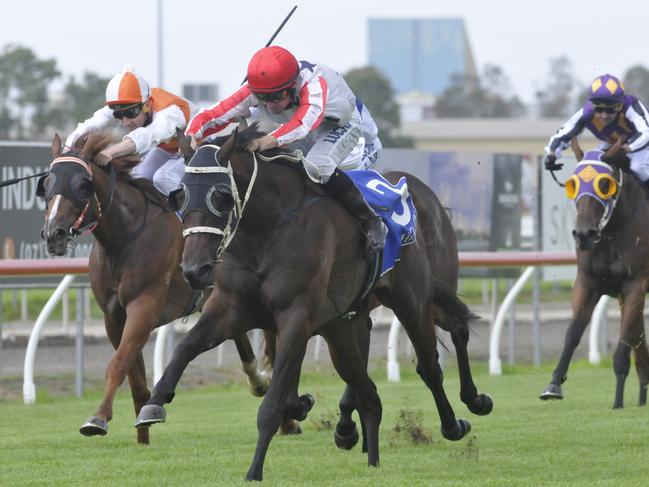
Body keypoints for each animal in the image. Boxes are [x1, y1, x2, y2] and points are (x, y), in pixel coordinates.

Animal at [36, 132, 270, 444]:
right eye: (47, 182)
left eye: (82, 184)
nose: (53, 234)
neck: (123, 240)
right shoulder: (114, 317)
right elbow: (135, 377)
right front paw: (142, 436)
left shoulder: (144, 307)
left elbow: (118, 363)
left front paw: (98, 418)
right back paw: (258, 381)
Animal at [135, 125, 492, 480]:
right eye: (180, 195)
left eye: (220, 196)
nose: (195, 270)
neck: (267, 228)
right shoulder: (232, 309)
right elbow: (185, 348)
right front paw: (154, 403)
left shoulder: (296, 316)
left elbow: (272, 402)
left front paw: (254, 470)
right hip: (345, 326)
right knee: (369, 390)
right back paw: (368, 450)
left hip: (414, 301)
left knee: (433, 359)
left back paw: (460, 417)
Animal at [540, 142, 648, 408]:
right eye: (573, 183)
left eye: (605, 184)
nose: (583, 234)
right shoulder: (588, 283)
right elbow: (573, 332)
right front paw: (554, 384)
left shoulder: (636, 284)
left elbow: (624, 340)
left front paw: (618, 400)